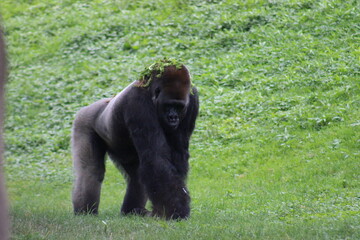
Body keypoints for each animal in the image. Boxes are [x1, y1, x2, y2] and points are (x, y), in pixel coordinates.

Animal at [71, 58, 198, 219]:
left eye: (179, 107)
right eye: (168, 105)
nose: (173, 118)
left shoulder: (192, 99)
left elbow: (177, 154)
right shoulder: (137, 102)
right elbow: (156, 158)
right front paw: (175, 210)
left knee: (136, 175)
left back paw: (132, 210)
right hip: (83, 120)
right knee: (90, 171)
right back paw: (85, 212)